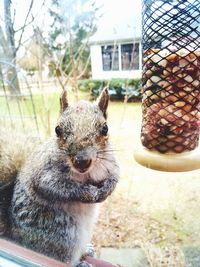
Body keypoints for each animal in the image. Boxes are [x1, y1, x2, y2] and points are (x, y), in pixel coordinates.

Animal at [0, 88, 119, 267]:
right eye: (57, 129)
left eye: (105, 128)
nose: (82, 161)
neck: (85, 173)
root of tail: (16, 235)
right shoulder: (43, 173)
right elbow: (55, 187)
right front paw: (88, 193)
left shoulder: (111, 164)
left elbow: (115, 177)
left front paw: (105, 190)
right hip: (62, 234)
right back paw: (80, 263)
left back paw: (86, 251)